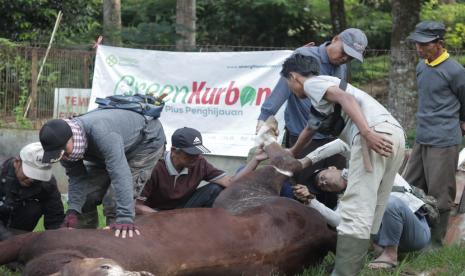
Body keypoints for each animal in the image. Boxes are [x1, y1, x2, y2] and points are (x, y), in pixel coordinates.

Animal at [0, 121, 336, 276]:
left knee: (286, 163)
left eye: (107, 267)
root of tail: (321, 230)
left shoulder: (37, 240)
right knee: (291, 165)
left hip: (237, 196)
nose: (141, 273)